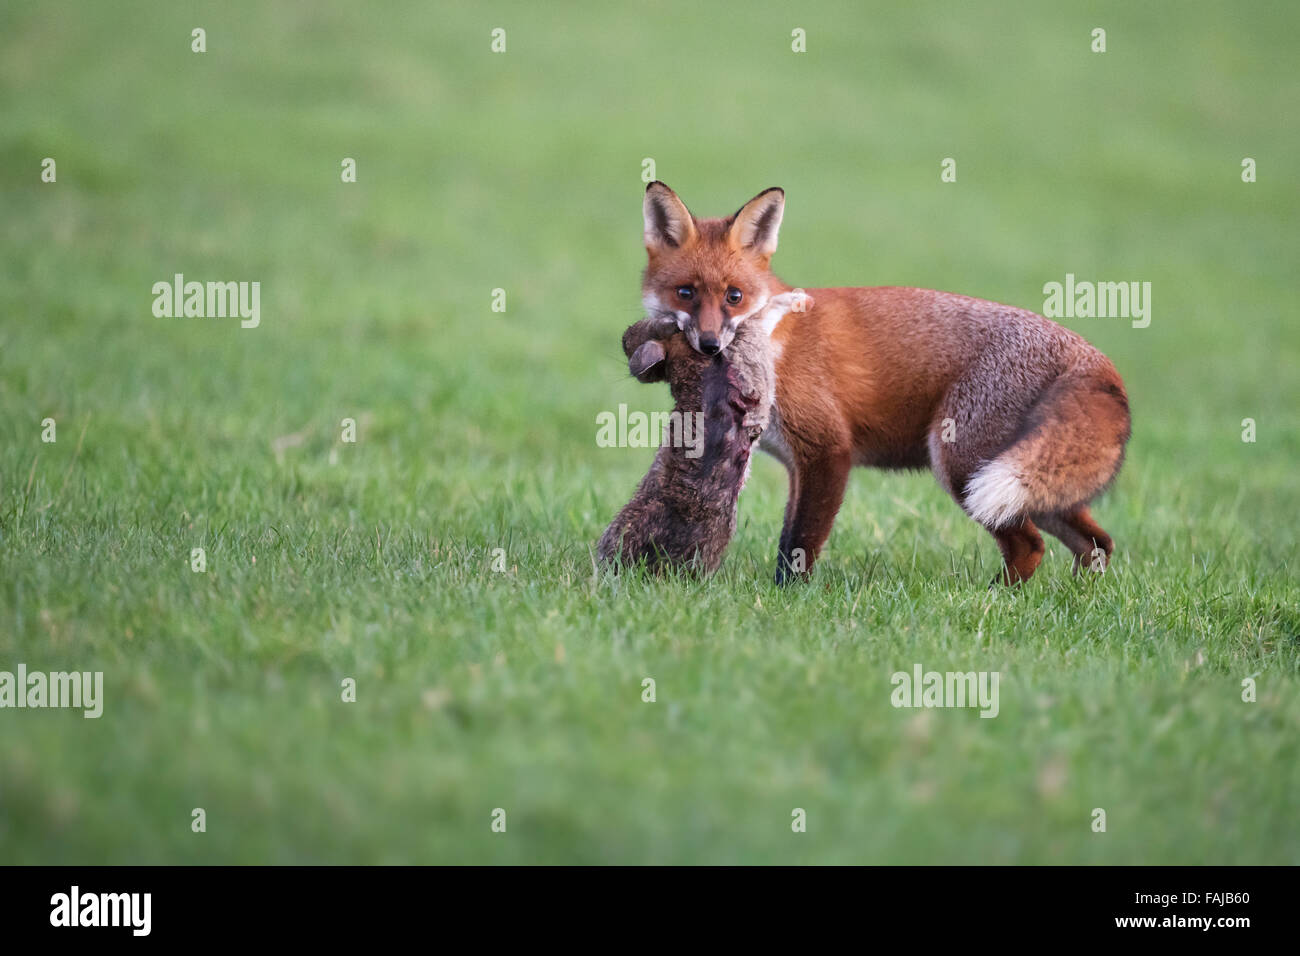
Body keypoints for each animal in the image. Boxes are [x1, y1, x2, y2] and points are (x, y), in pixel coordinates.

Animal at [638, 181, 1131, 586]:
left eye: (734, 296)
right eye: (686, 293)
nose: (708, 345)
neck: (773, 340)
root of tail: (1090, 353)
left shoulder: (828, 450)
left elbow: (798, 545)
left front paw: (787, 600)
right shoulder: (799, 466)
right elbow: (790, 537)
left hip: (966, 468)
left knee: (1030, 546)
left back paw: (993, 598)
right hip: (1029, 487)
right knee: (1097, 544)